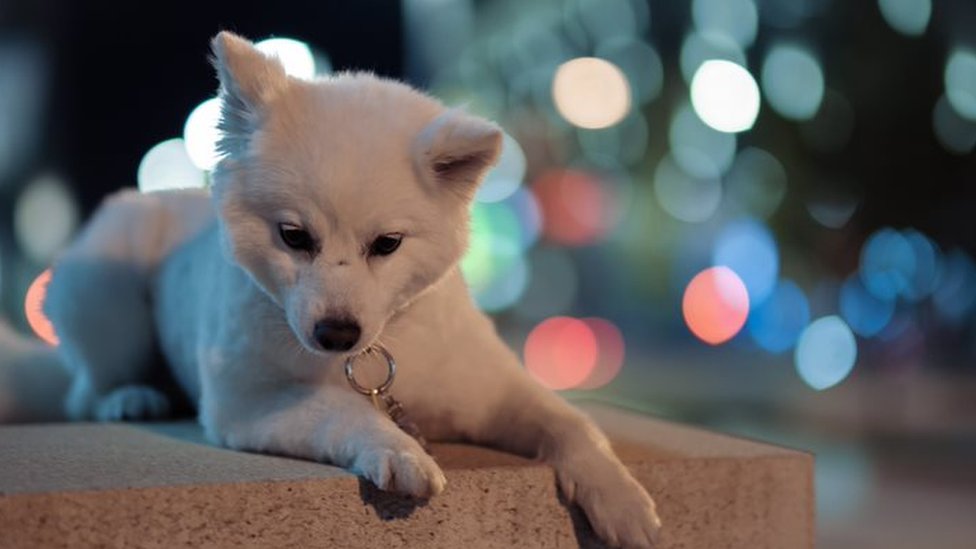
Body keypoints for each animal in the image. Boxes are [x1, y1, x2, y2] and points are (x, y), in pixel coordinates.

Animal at [7, 32, 660, 544]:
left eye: (387, 244)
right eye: (294, 236)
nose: (336, 333)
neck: (381, 348)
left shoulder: (494, 392)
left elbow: (573, 425)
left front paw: (622, 497)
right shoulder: (250, 405)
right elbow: (343, 412)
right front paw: (396, 449)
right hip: (107, 295)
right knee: (84, 392)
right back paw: (130, 397)